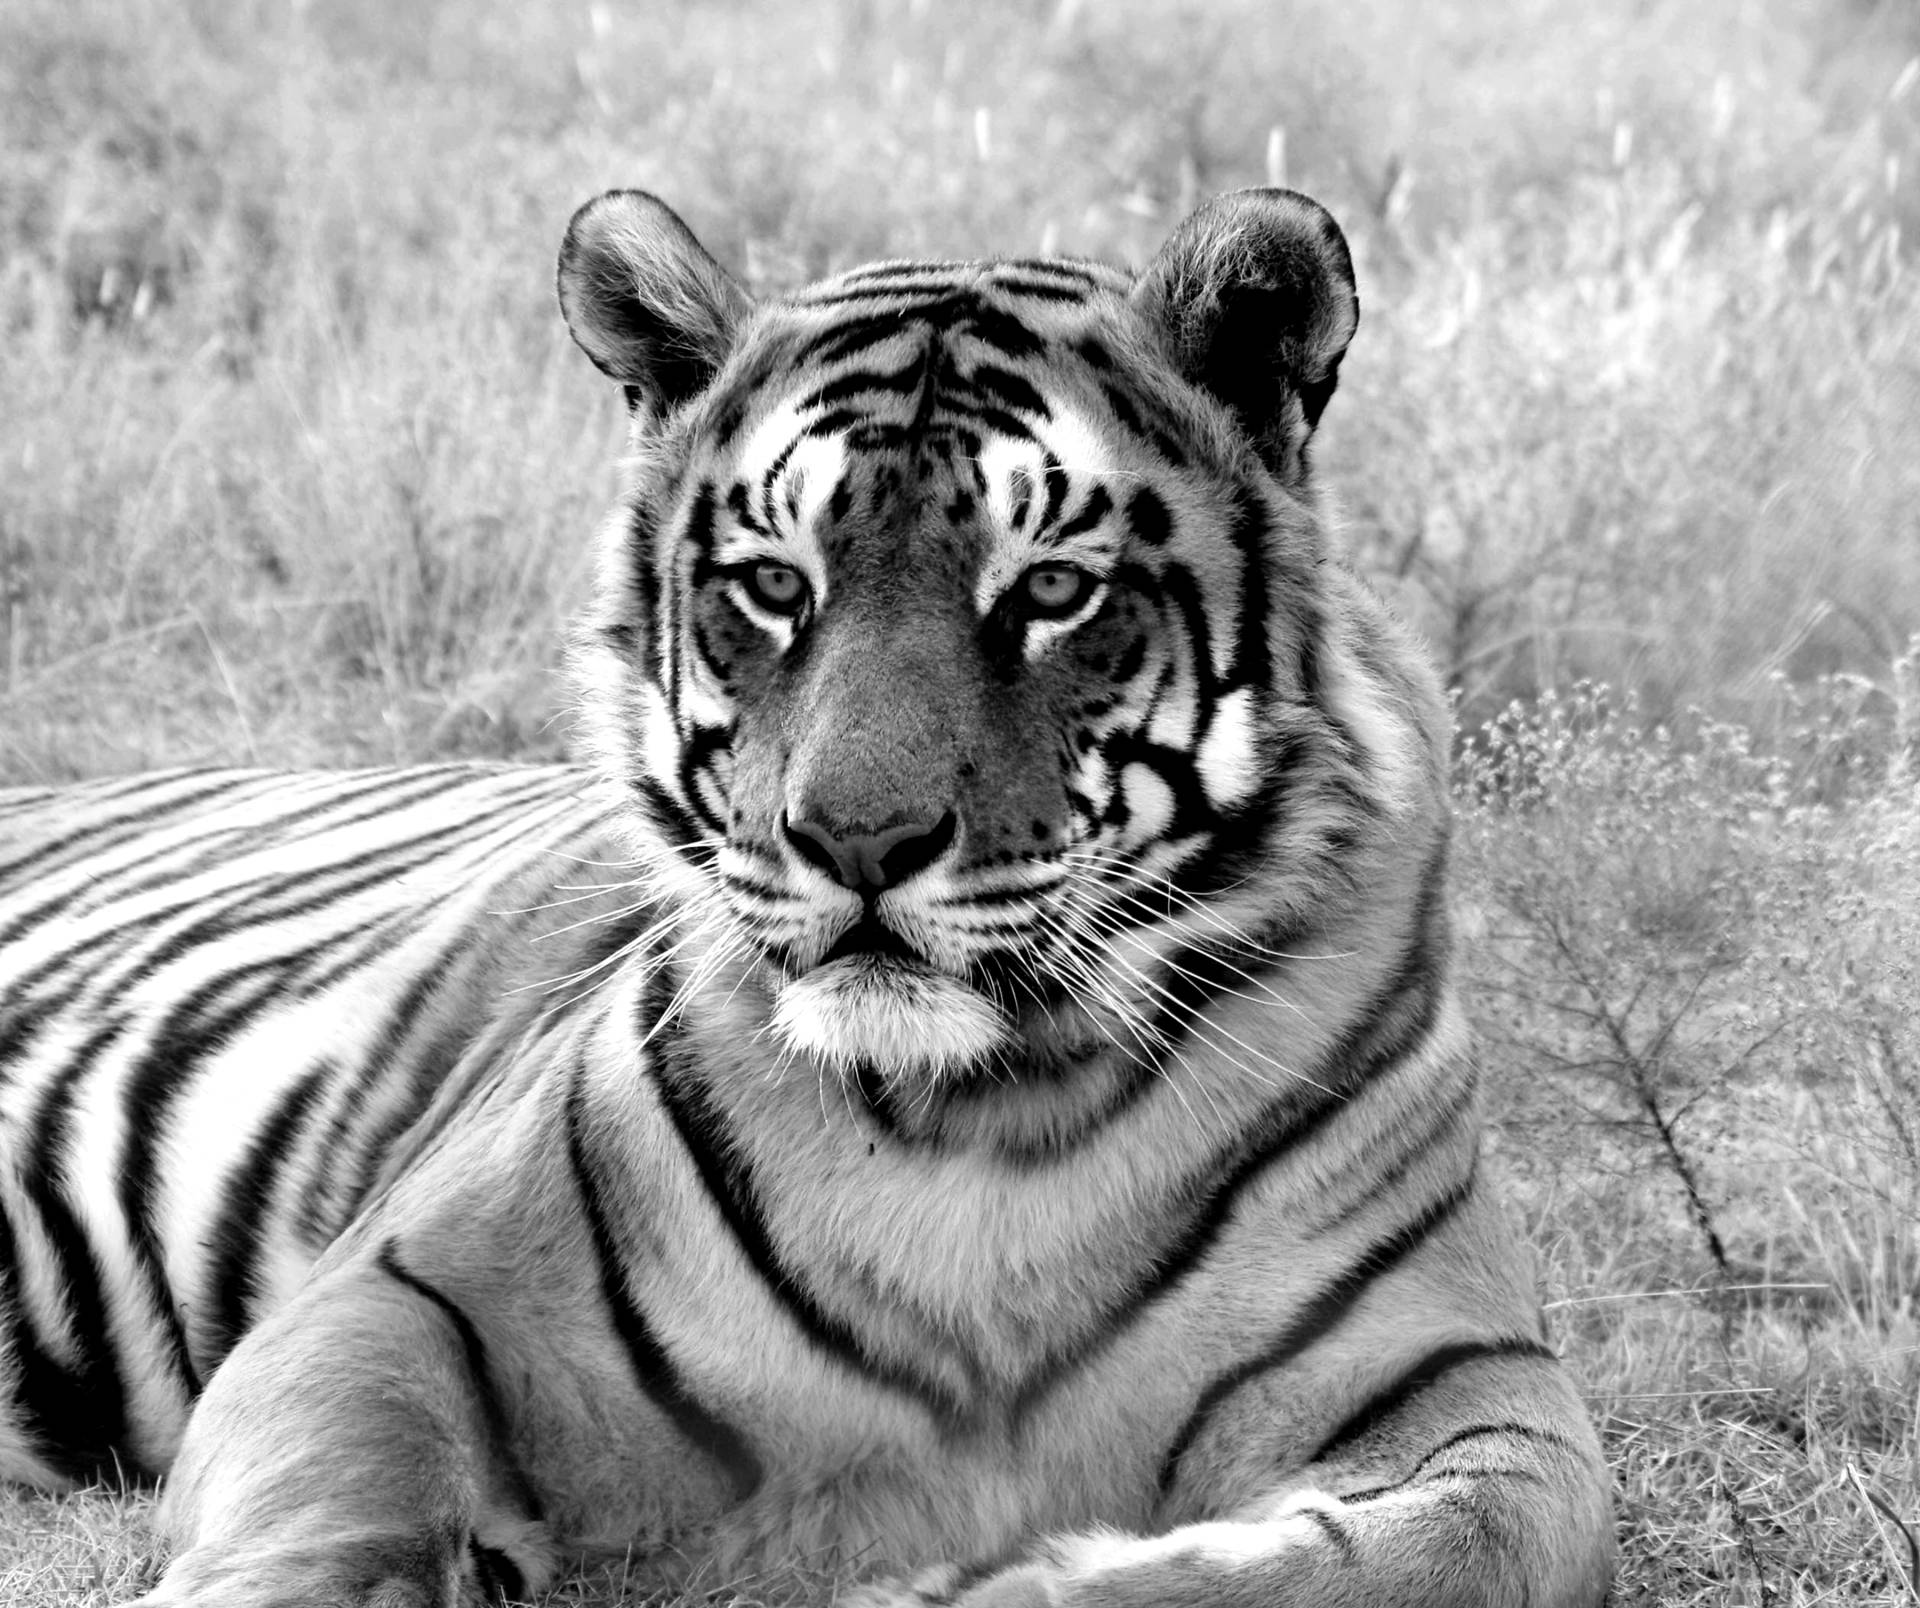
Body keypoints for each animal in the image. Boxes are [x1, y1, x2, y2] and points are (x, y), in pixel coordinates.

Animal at [0, 187, 1614, 1607]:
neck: (989, 1134)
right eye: (777, 585)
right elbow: (342, 1500)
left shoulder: (1471, 1377)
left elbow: (1444, 1552)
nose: (857, 839)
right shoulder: (394, 1294)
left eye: (1051, 589)